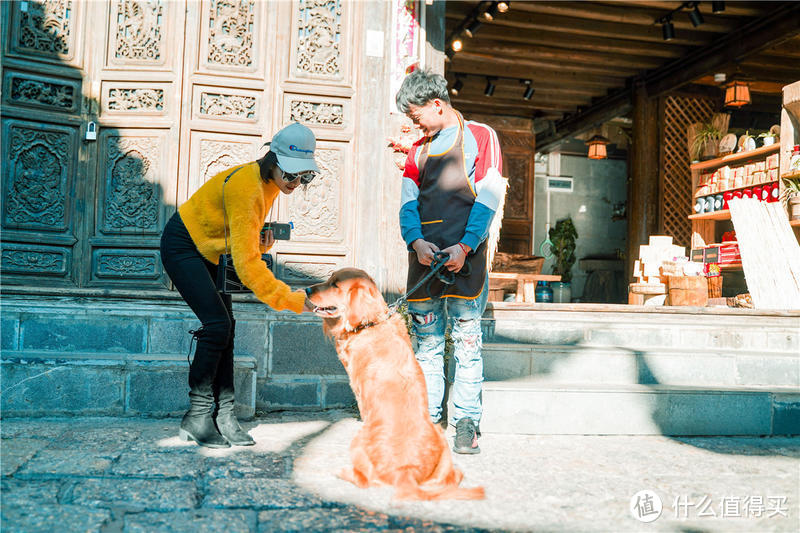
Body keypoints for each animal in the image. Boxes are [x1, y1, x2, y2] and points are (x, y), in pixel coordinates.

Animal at [304, 268, 482, 500]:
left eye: (335, 285)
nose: (306, 290)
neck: (370, 324)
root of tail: (408, 473)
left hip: (359, 439)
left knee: (365, 478)